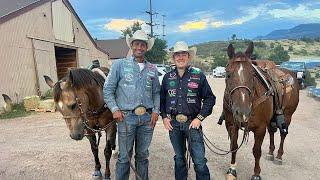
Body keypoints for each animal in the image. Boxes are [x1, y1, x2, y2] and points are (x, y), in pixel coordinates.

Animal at [224, 42, 298, 180]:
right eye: (228, 74)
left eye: (253, 74)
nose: (242, 112)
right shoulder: (231, 125)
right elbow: (233, 146)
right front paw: (232, 170)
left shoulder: (260, 128)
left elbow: (256, 151)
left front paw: (256, 173)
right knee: (272, 131)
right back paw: (270, 152)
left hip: (287, 115)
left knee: (283, 133)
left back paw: (279, 156)